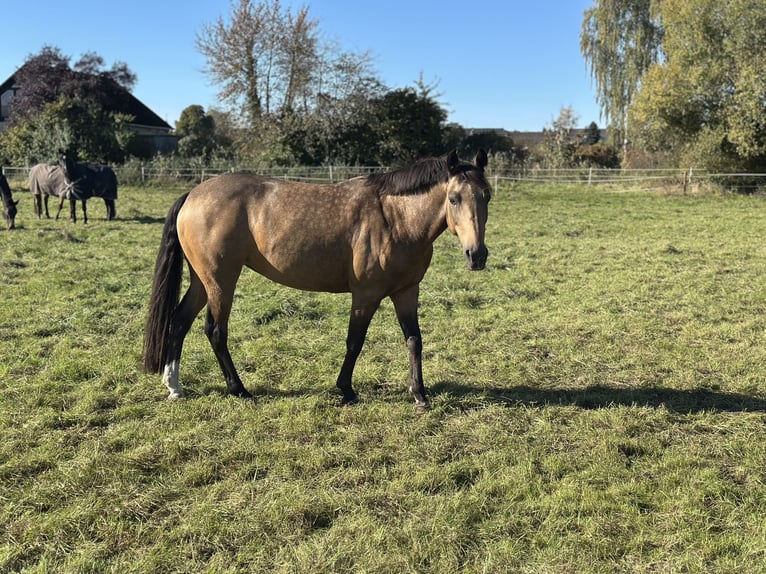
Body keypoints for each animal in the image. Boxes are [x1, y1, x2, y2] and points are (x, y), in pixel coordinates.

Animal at [143, 148, 492, 410]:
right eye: (454, 198)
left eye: (486, 196)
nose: (477, 255)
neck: (395, 219)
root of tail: (192, 195)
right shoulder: (365, 295)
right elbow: (355, 342)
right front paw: (346, 390)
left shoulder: (407, 292)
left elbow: (414, 340)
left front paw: (419, 394)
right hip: (220, 281)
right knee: (215, 331)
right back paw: (239, 389)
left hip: (202, 281)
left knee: (179, 321)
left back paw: (174, 386)